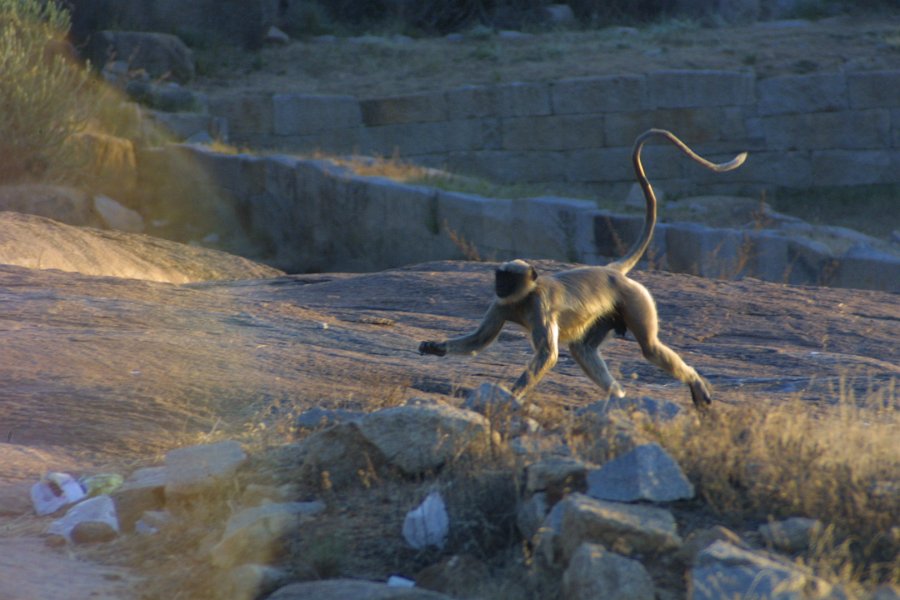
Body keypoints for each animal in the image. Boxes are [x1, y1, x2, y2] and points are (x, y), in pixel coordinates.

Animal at [418, 129, 747, 410]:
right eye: (500, 277)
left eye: (509, 279)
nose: (500, 286)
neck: (523, 298)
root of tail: (611, 271)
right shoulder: (501, 304)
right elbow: (479, 341)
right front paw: (435, 347)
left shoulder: (539, 305)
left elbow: (547, 355)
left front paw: (513, 394)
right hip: (606, 314)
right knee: (583, 349)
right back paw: (617, 396)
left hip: (634, 299)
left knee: (650, 348)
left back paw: (693, 382)